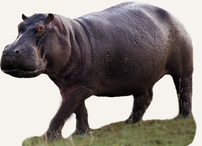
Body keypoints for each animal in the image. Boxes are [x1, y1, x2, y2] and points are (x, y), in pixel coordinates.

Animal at [0, 2, 193, 140]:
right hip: (142, 73)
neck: (70, 36)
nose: (9, 51)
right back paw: (129, 124)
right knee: (144, 98)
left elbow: (63, 111)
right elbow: (79, 111)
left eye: (41, 28)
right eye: (18, 26)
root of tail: (172, 14)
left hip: (183, 69)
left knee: (184, 91)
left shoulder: (79, 87)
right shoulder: (70, 85)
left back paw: (182, 119)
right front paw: (82, 135)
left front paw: (47, 139)